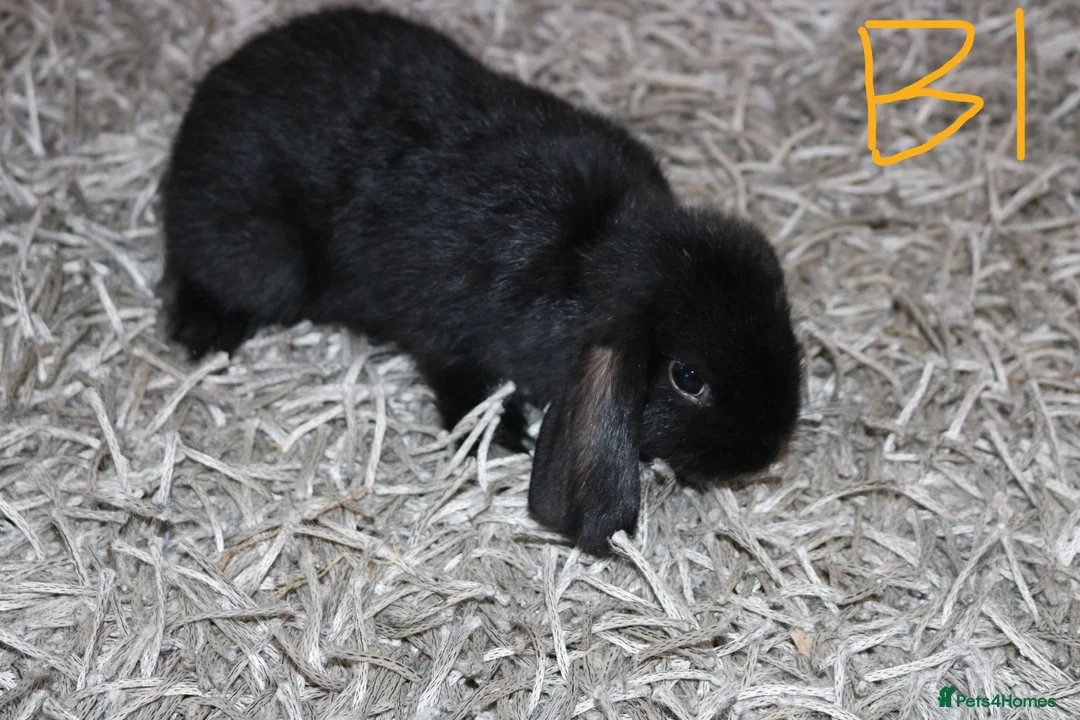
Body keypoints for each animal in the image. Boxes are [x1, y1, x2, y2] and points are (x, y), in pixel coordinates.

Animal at [159, 7, 803, 554]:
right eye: (688, 378)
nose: (767, 448)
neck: (589, 252)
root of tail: (209, 98)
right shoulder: (449, 337)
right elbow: (461, 383)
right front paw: (504, 437)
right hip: (261, 260)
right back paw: (203, 332)